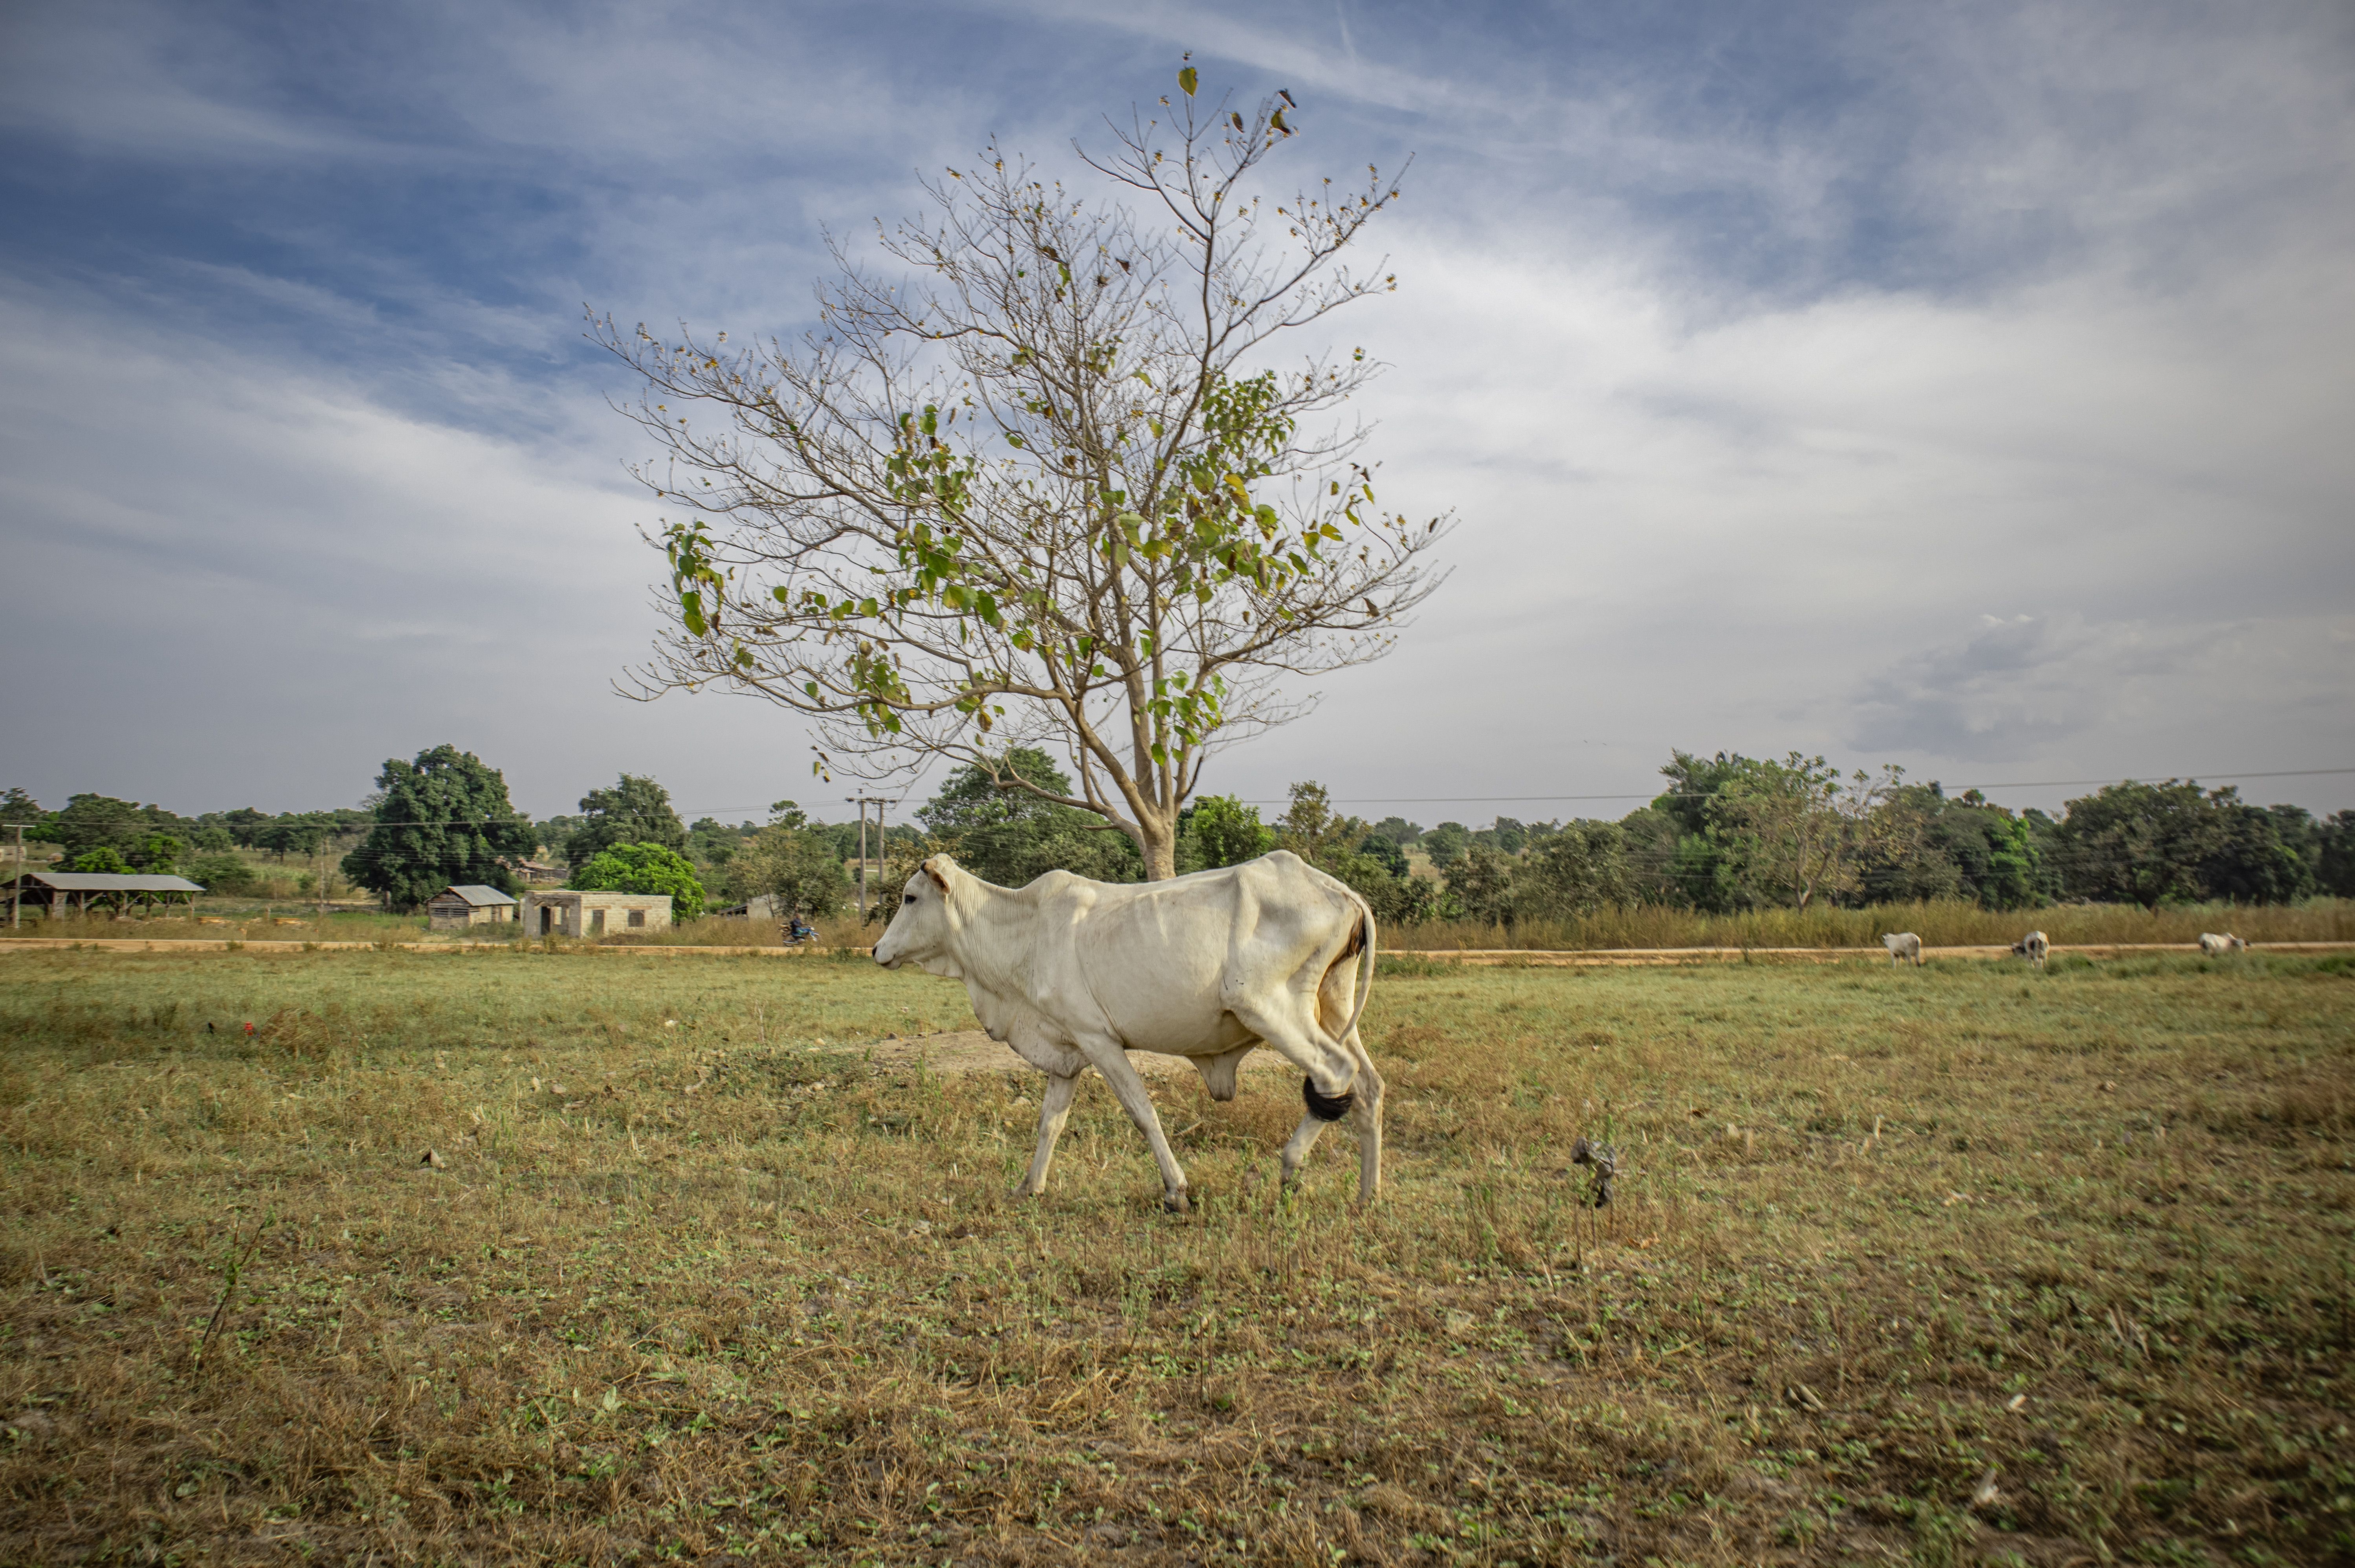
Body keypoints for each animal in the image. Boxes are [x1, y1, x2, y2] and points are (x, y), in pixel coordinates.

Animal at [870, 851, 1382, 1213]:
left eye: (910, 897)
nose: (877, 950)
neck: (1023, 931)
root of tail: (1338, 890)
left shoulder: (1099, 1039)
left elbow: (1143, 1112)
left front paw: (1176, 1191)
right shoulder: (1067, 1051)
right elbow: (1050, 1122)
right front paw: (1029, 1187)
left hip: (1269, 1009)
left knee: (1335, 1075)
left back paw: (1289, 1167)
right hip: (1333, 1007)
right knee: (1369, 1086)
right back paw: (1367, 1196)